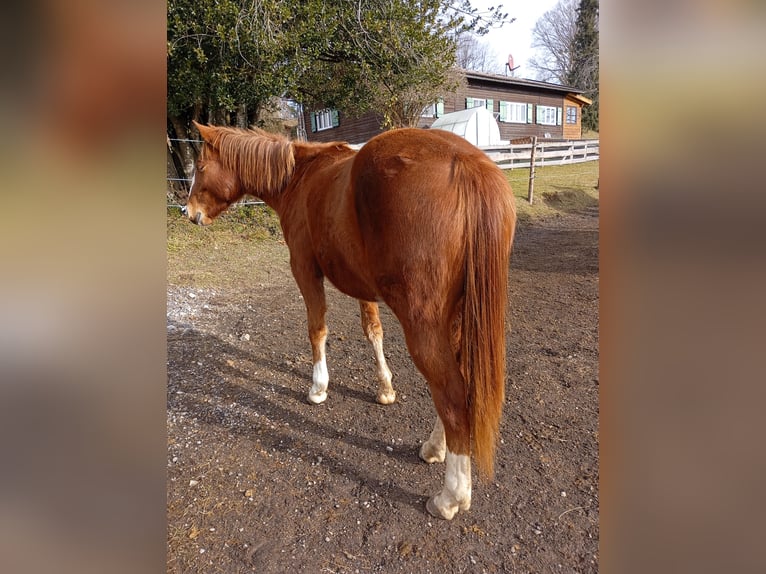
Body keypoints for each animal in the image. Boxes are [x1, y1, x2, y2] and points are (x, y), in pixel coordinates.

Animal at [183, 121, 516, 520]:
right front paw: (385, 388)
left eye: (201, 166)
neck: (300, 177)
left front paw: (318, 387)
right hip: (456, 317)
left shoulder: (305, 270)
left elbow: (317, 329)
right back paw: (435, 448)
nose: (188, 212)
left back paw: (451, 497)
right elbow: (373, 331)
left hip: (424, 322)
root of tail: (466, 163)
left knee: (450, 394)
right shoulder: (362, 284)